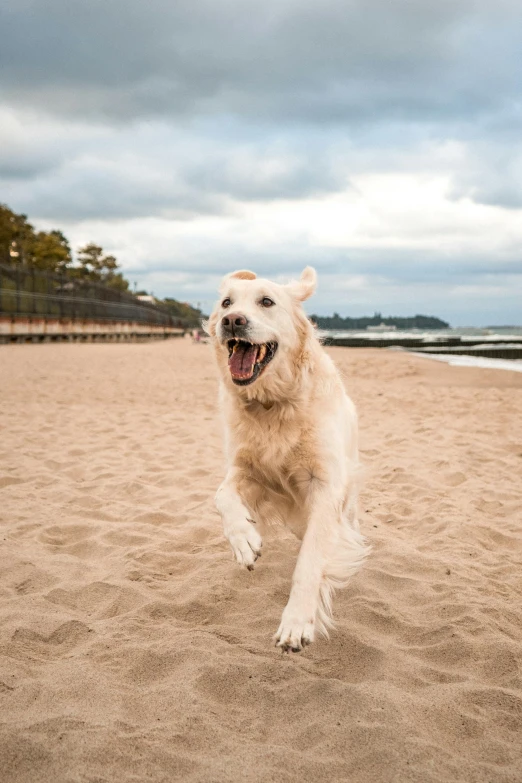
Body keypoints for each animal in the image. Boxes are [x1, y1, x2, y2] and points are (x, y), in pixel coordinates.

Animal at [205, 266, 368, 652]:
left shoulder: (324, 486)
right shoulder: (247, 470)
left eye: (266, 302)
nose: (232, 321)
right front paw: (244, 541)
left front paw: (296, 622)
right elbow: (221, 496)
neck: (272, 405)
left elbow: (311, 560)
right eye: (226, 303)